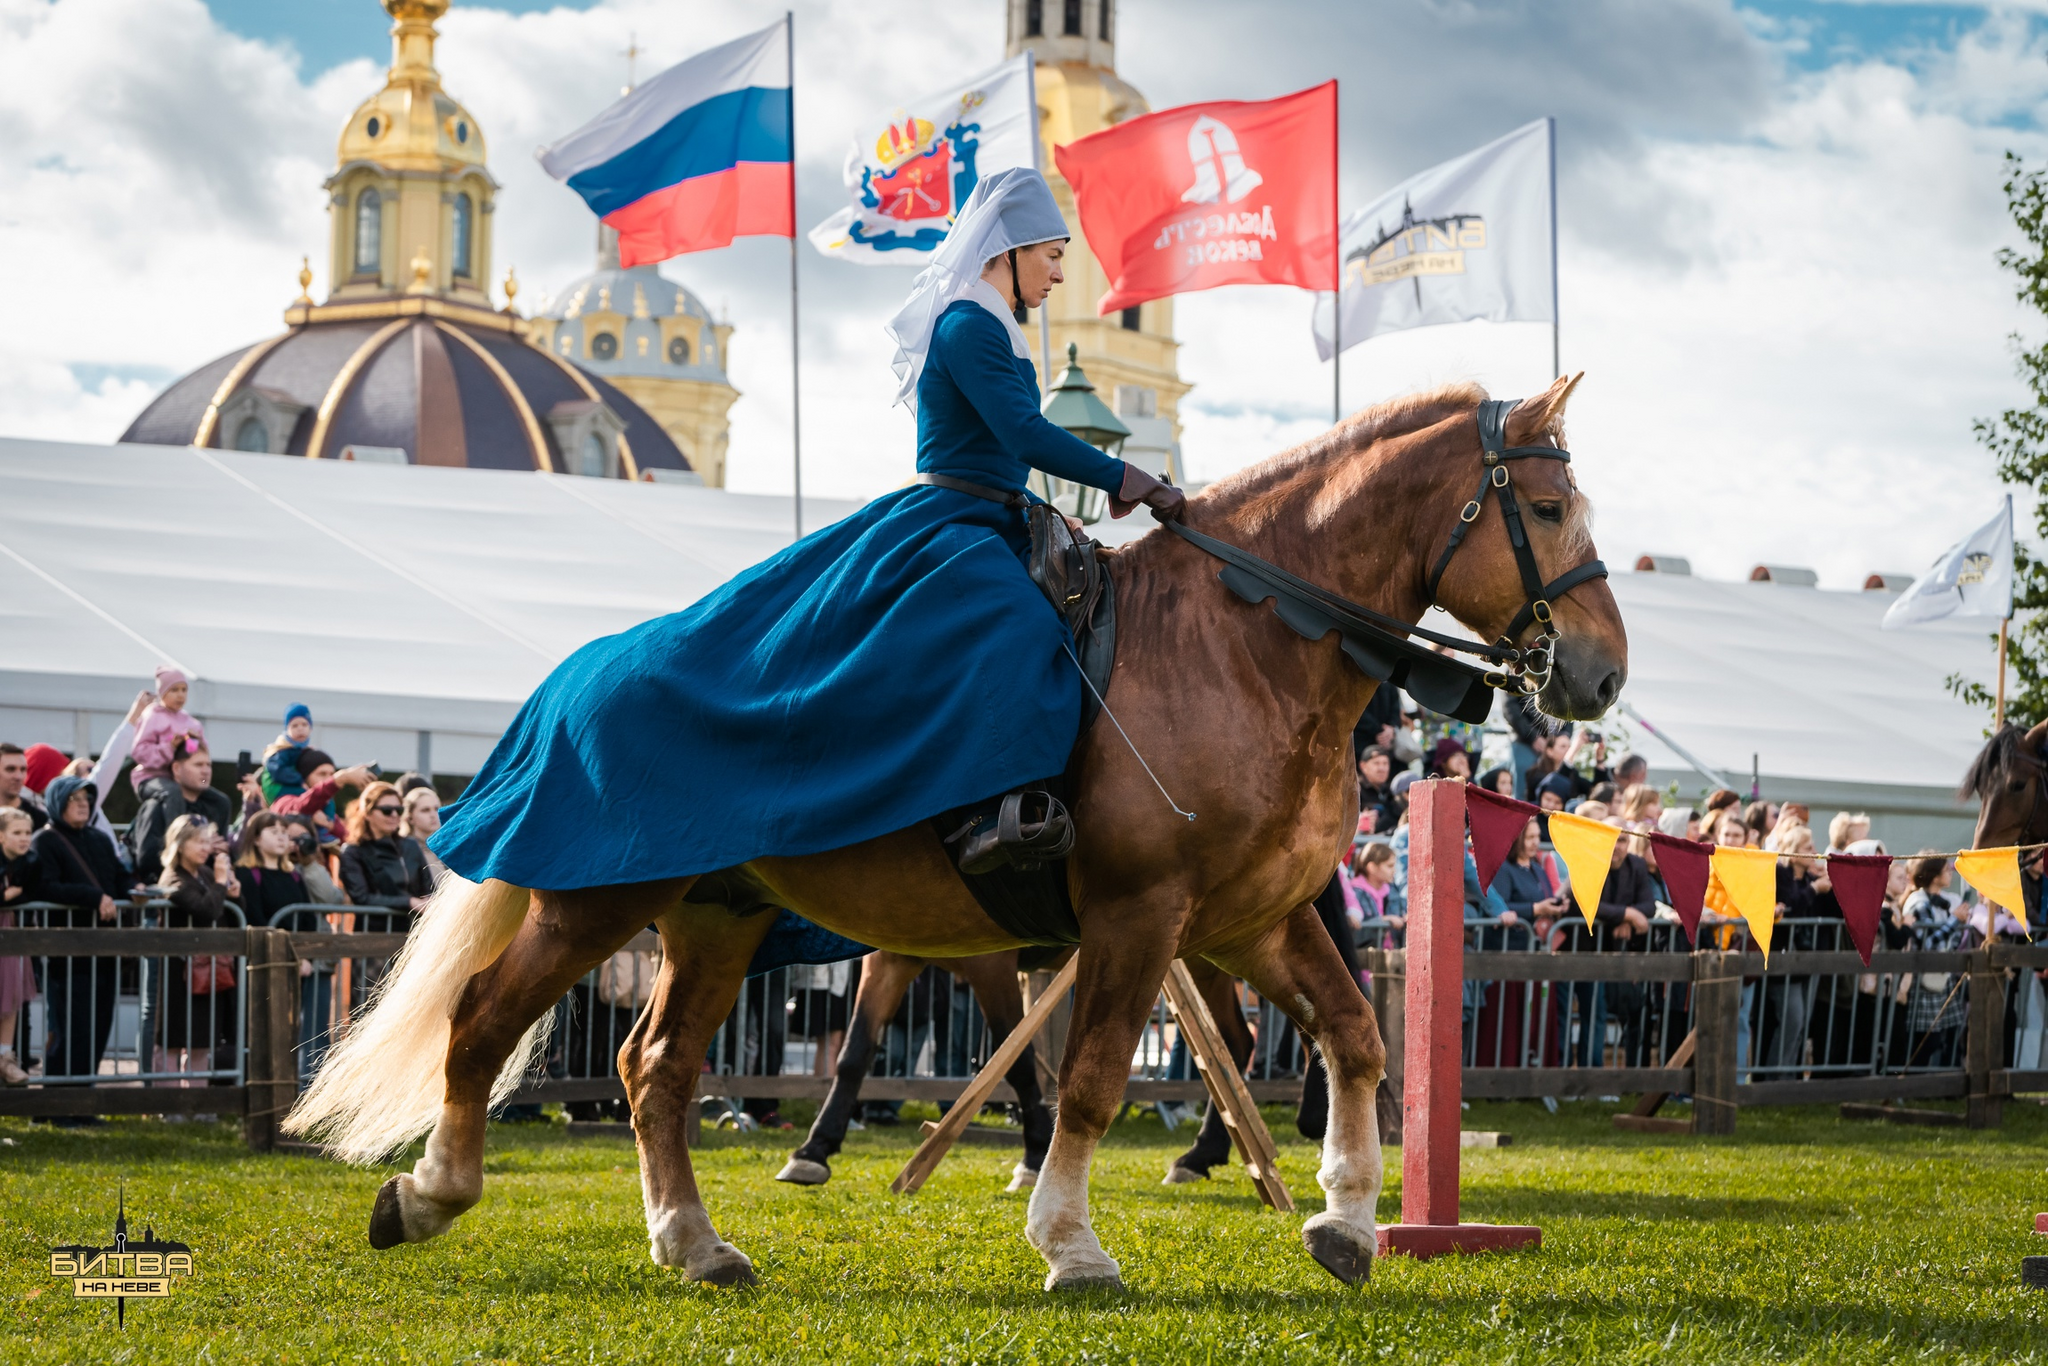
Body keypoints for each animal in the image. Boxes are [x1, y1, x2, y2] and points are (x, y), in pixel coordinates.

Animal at [288, 374, 1630, 1294]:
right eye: (1546, 505)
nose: (1602, 672)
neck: (1241, 640)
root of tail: (574, 675)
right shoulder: (1139, 916)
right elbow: (1088, 1078)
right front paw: (1070, 1242)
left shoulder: (1249, 918)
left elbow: (1352, 1037)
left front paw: (1347, 1221)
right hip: (593, 903)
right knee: (483, 1023)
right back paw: (430, 1192)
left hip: (715, 919)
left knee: (653, 1068)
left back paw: (694, 1243)